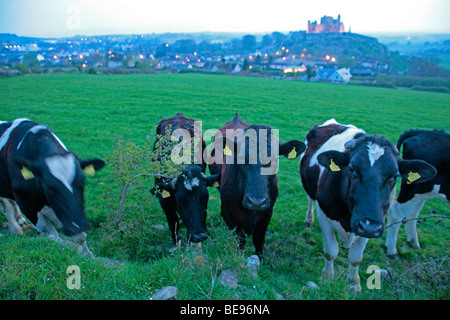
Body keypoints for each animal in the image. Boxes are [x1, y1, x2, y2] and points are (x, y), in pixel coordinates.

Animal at [0, 119, 105, 256]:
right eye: (49, 186)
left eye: (82, 181)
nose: (79, 225)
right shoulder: (28, 207)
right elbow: (51, 235)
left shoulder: (72, 214)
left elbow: (80, 237)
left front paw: (88, 256)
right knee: (6, 206)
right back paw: (15, 228)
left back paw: (20, 220)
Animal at [151, 114, 221, 244]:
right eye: (180, 201)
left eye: (205, 198)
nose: (199, 236)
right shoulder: (164, 200)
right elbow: (173, 223)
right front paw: (175, 244)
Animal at [211, 114, 306, 256]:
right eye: (241, 158)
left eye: (274, 160)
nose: (256, 202)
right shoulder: (230, 215)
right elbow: (240, 241)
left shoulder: (267, 213)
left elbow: (258, 240)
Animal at [298, 119, 436, 292]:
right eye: (351, 169)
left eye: (394, 176)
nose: (369, 226)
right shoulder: (324, 215)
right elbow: (330, 251)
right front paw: (327, 278)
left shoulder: (371, 224)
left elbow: (356, 257)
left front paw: (354, 283)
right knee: (310, 199)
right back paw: (309, 221)